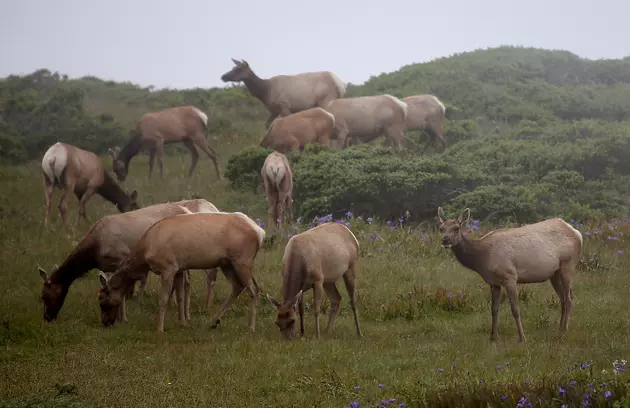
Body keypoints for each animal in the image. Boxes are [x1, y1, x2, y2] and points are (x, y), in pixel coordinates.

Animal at [37, 199, 221, 324]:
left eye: (45, 296)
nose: (47, 317)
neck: (95, 251)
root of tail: (188, 211)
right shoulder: (109, 266)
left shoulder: (121, 257)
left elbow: (123, 292)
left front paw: (123, 319)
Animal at [97, 212, 266, 334]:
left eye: (103, 302)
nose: (105, 323)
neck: (145, 252)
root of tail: (260, 233)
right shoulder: (178, 269)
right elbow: (179, 296)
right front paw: (183, 323)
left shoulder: (168, 266)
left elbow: (164, 298)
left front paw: (159, 328)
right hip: (227, 263)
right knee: (238, 287)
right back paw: (213, 322)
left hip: (242, 260)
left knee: (254, 290)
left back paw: (251, 328)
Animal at [440, 207, 584, 344]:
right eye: (441, 228)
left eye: (456, 228)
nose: (445, 240)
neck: (481, 257)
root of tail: (578, 233)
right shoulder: (493, 282)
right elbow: (494, 309)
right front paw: (493, 337)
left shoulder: (509, 276)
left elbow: (515, 309)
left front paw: (522, 338)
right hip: (554, 273)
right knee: (563, 298)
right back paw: (560, 328)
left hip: (568, 264)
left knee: (569, 298)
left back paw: (565, 329)